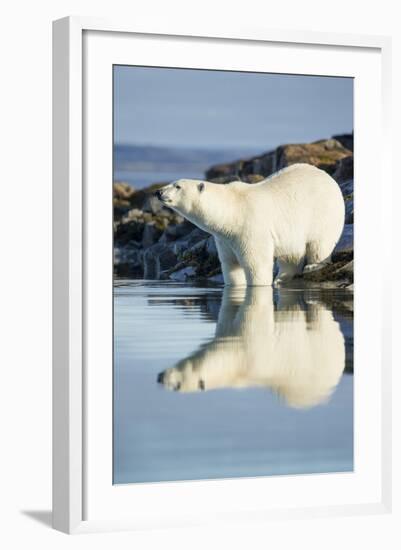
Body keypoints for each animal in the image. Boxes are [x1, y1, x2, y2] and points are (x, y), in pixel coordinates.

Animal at [155, 163, 346, 284]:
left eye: (177, 186)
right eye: (172, 183)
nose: (159, 192)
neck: (232, 211)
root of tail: (329, 178)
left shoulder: (250, 227)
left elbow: (257, 265)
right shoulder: (225, 239)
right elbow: (230, 266)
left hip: (323, 212)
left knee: (320, 243)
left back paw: (312, 265)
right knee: (291, 254)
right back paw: (282, 277)